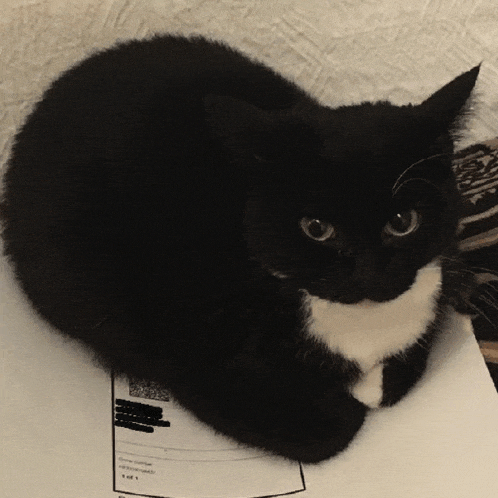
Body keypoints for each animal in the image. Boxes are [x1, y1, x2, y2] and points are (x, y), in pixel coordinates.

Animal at [1, 35, 480, 462]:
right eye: (316, 228)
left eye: (402, 222)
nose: (368, 274)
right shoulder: (189, 352)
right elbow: (329, 429)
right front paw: (344, 403)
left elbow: (404, 368)